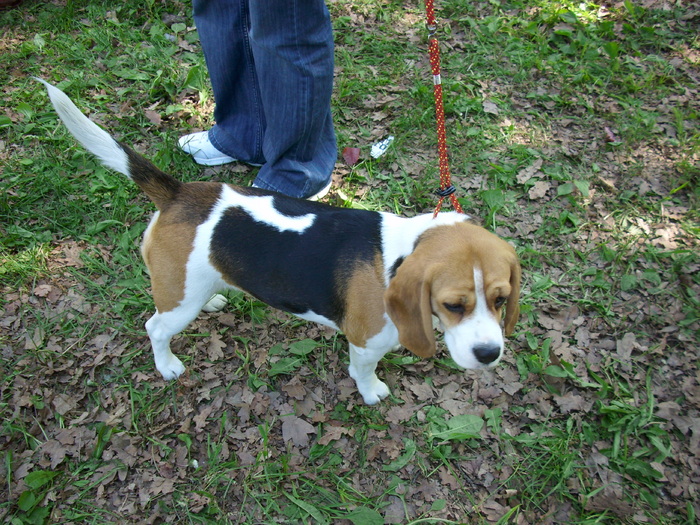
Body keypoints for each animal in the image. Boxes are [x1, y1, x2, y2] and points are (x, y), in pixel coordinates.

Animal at [38, 80, 520, 404]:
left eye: (501, 299)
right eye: (453, 304)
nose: (490, 354)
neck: (400, 253)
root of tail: (177, 192)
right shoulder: (365, 343)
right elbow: (362, 371)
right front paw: (373, 392)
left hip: (190, 288)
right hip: (177, 306)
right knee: (154, 328)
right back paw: (167, 364)